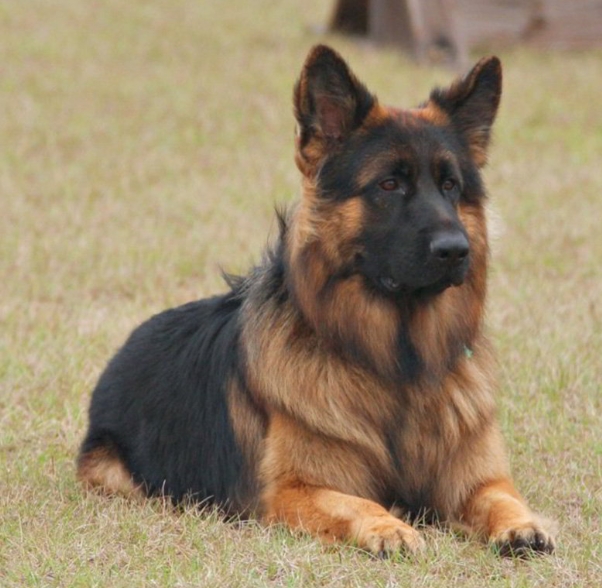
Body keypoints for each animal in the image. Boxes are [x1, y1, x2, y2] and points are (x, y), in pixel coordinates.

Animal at [78, 44, 552, 556]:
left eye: (450, 186)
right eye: (389, 185)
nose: (455, 249)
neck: (397, 364)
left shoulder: (477, 480)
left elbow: (501, 496)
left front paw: (522, 523)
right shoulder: (292, 491)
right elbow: (358, 503)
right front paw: (389, 526)